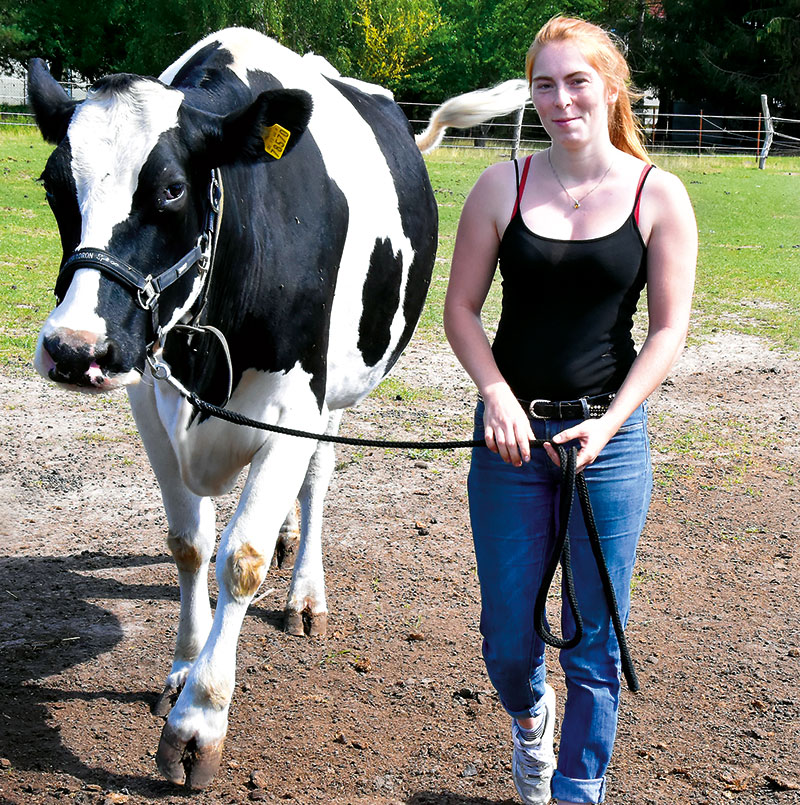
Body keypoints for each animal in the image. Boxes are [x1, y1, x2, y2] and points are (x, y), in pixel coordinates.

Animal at [26, 28, 532, 788]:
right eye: (56, 185)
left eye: (171, 189)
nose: (72, 346)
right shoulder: (148, 396)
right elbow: (190, 542)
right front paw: (184, 664)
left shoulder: (298, 401)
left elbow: (241, 555)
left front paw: (200, 722)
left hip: (339, 387)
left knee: (317, 479)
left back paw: (305, 593)